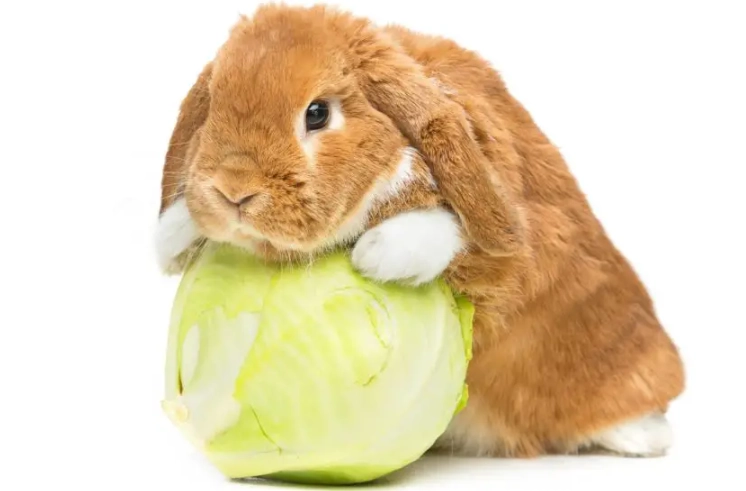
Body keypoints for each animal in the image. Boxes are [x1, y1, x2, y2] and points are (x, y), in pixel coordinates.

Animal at [154, 4, 685, 459]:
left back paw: (645, 437)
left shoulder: (511, 251)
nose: (234, 192)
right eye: (213, 106)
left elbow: (456, 238)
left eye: (318, 113)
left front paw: (378, 253)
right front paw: (175, 236)